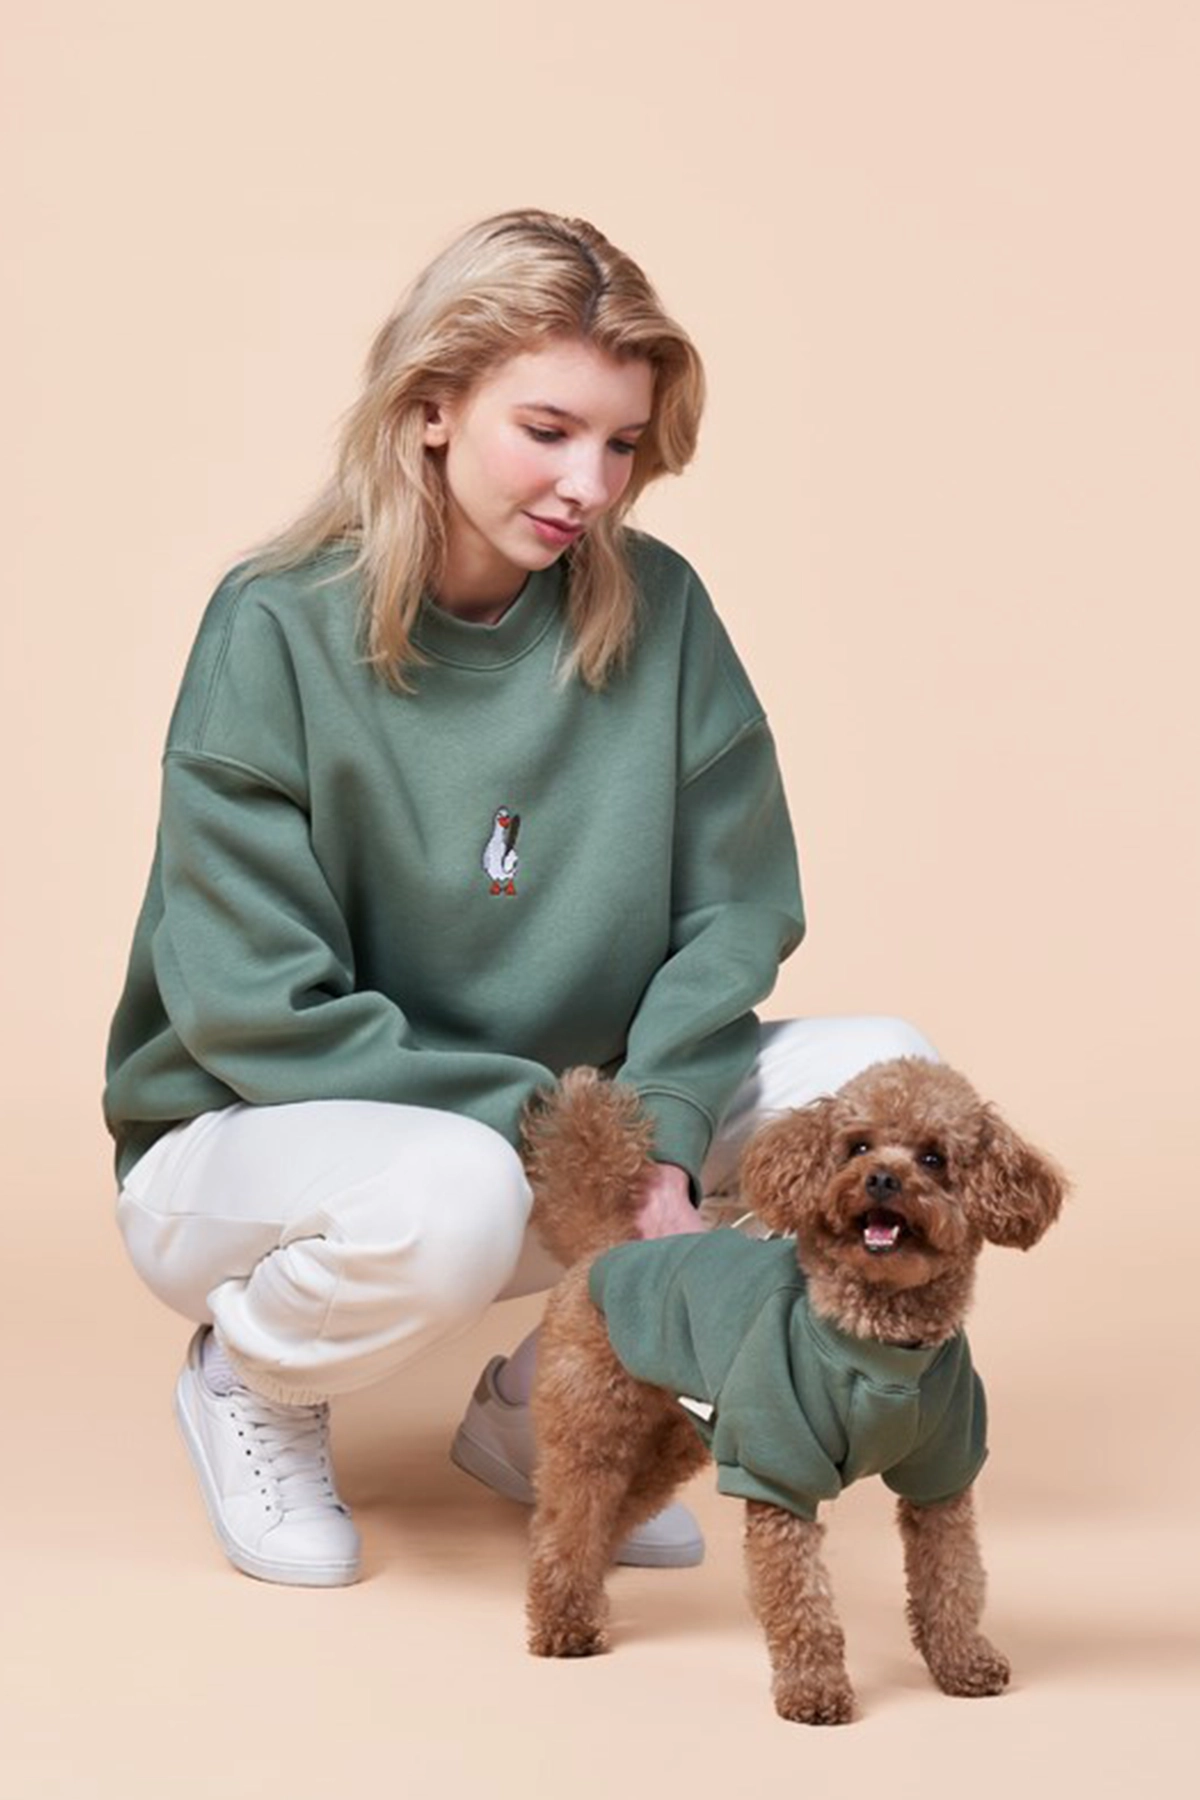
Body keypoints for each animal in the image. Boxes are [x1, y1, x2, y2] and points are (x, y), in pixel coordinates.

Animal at [521, 1056, 1065, 1725]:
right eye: (857, 1146)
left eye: (934, 1157)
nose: (881, 1178)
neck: (879, 1342)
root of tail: (607, 1249)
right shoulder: (780, 1468)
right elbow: (799, 1597)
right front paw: (814, 1691)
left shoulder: (942, 1472)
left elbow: (953, 1578)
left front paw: (963, 1662)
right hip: (593, 1425)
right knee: (567, 1521)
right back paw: (563, 1623)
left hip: (672, 1443)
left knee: (608, 1520)